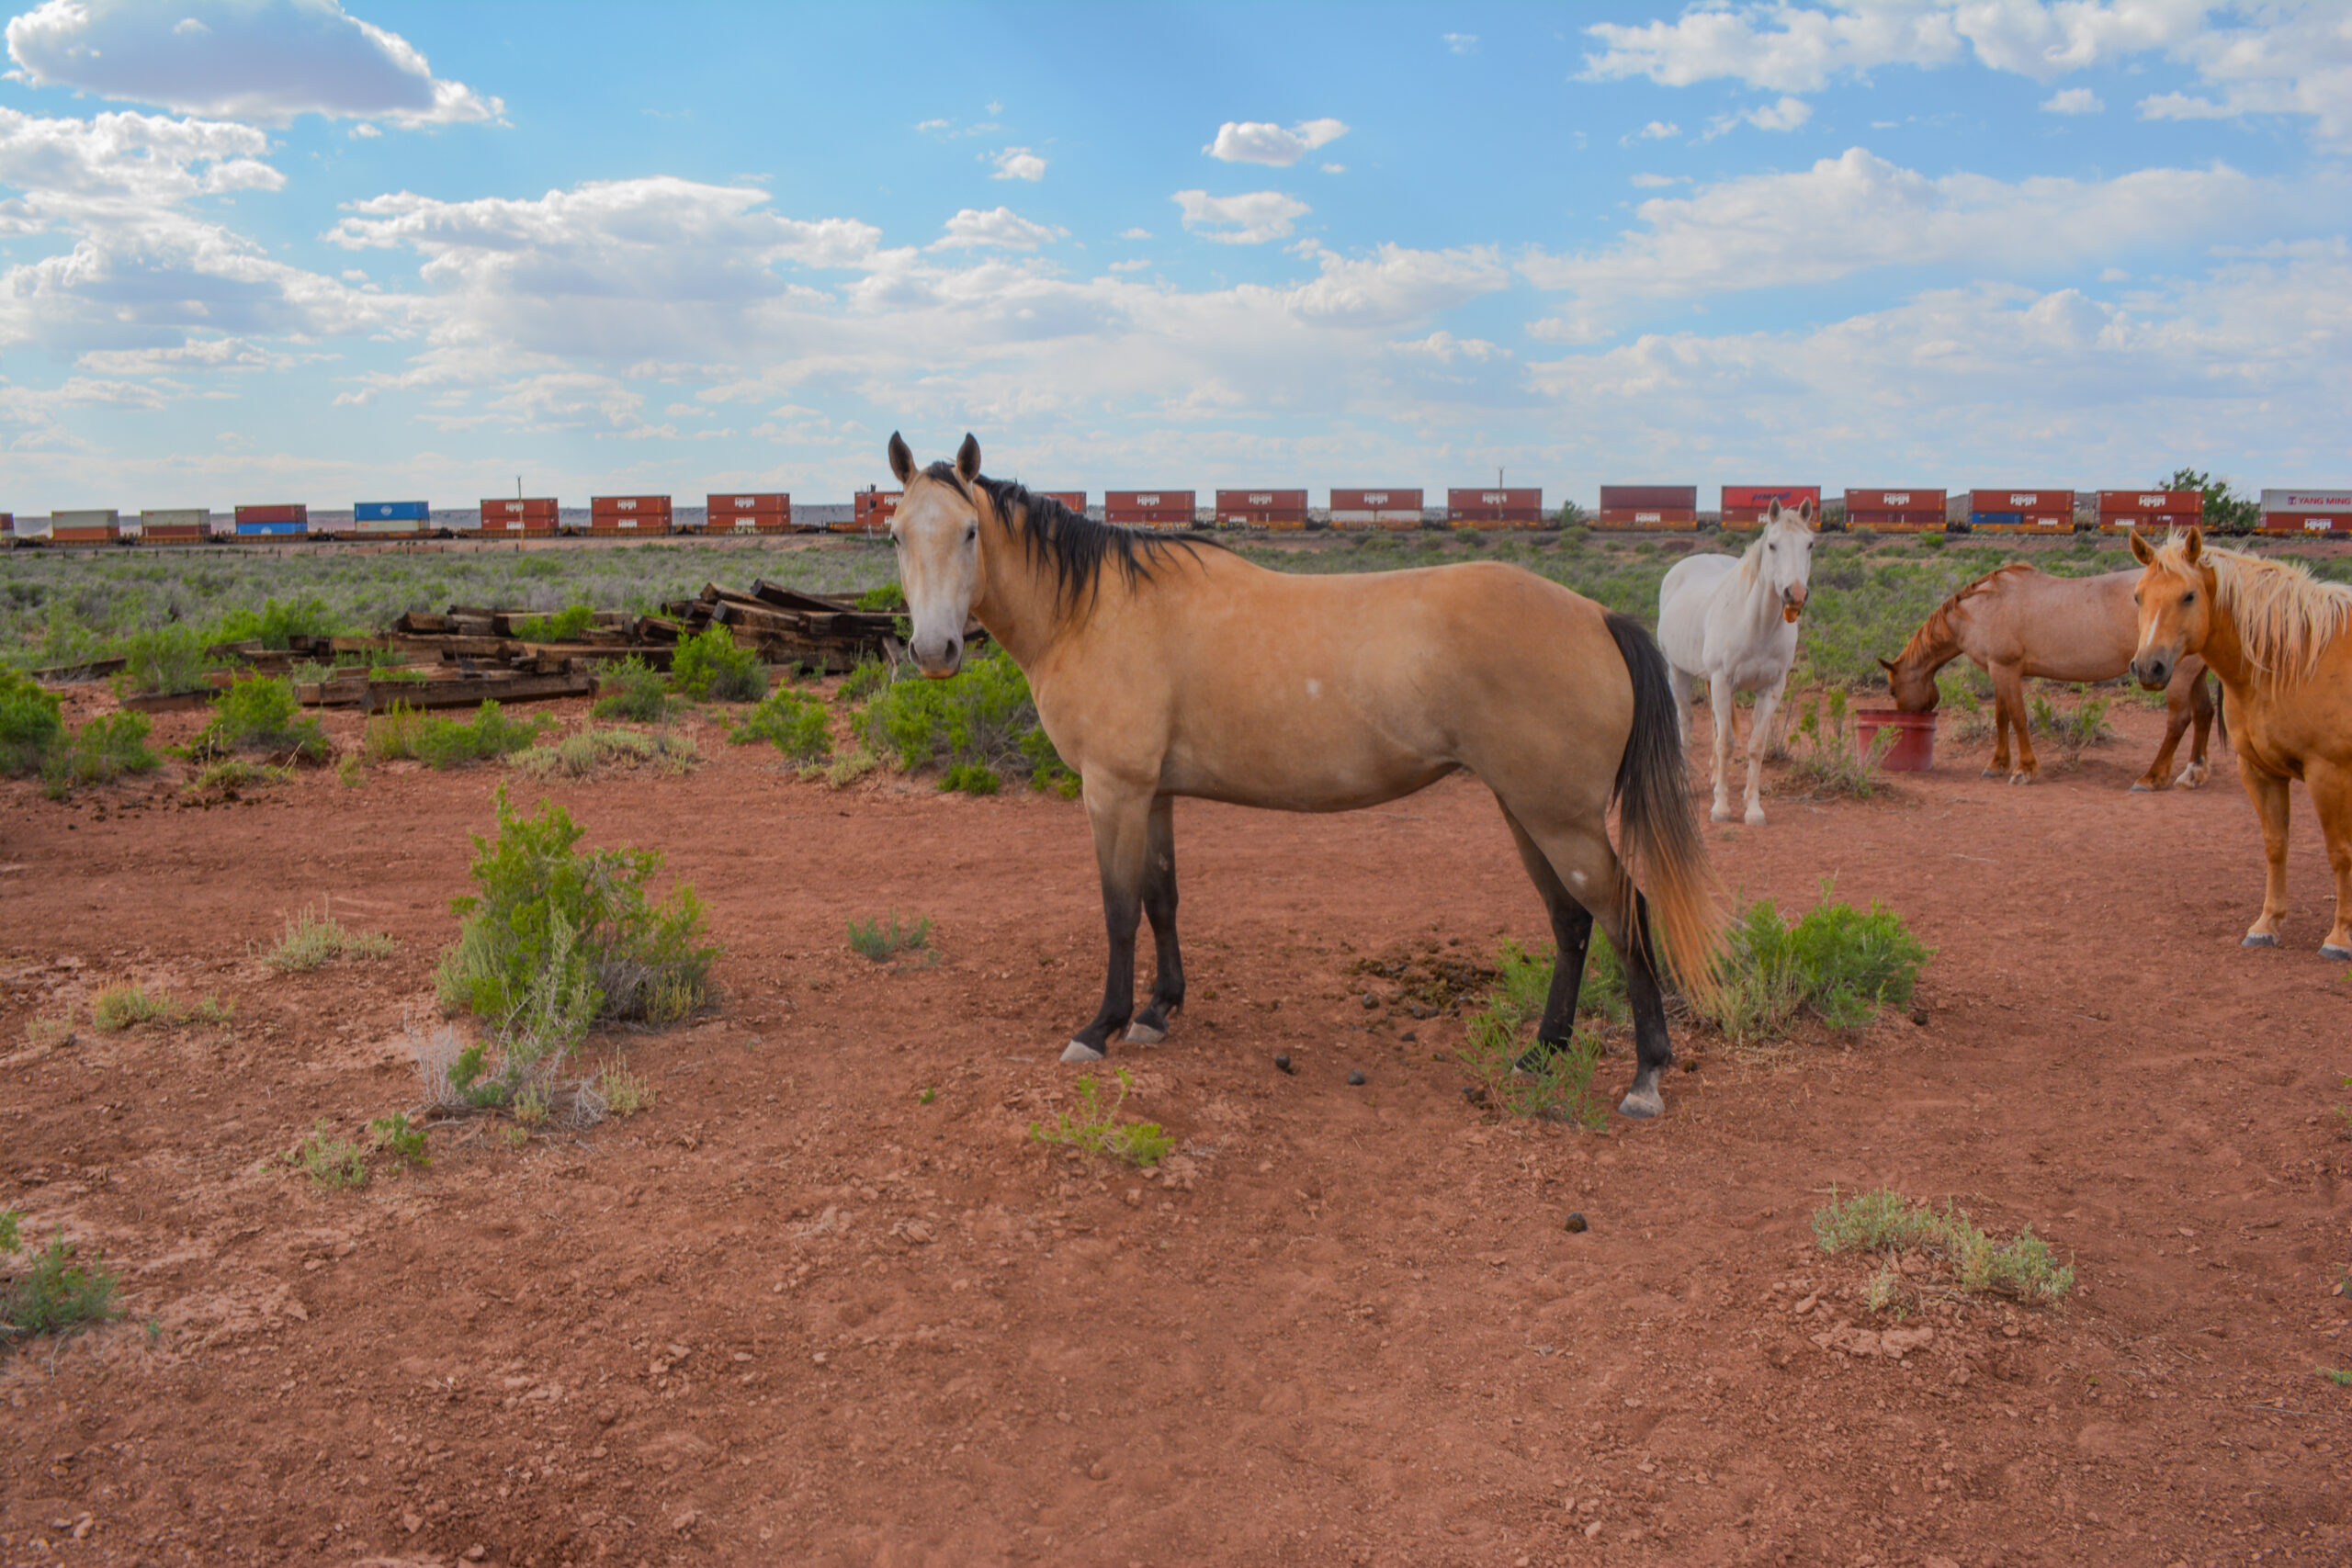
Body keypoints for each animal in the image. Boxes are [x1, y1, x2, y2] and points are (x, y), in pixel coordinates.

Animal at [884, 432, 1719, 1119]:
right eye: (895, 533)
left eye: (968, 531)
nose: (934, 650)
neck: (1094, 611)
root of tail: (1597, 615)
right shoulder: (1154, 794)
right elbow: (1162, 898)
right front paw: (1158, 1011)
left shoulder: (1113, 790)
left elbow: (1118, 911)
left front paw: (1102, 1025)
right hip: (1525, 810)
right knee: (1571, 922)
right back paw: (1543, 1051)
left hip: (1560, 820)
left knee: (1624, 913)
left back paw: (1645, 1075)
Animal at [1655, 499, 1817, 826]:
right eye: (1772, 545)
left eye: (1809, 544)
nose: (1795, 594)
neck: (1757, 625)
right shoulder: (1721, 680)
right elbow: (1727, 743)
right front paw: (1721, 807)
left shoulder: (1772, 688)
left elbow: (1755, 746)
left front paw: (1752, 808)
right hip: (1677, 671)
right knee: (1687, 721)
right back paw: (1684, 781)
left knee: (1715, 724)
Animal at [1881, 563, 2219, 789]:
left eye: (1893, 691)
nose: (1907, 723)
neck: (1981, 609)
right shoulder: (1998, 670)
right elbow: (2001, 716)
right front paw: (1997, 764)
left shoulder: (2006, 669)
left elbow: (2018, 717)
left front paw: (2024, 769)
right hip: (2195, 675)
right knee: (2204, 713)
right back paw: (2194, 774)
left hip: (2177, 675)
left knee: (2179, 720)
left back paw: (2151, 778)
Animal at [2128, 526, 2352, 960]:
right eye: (2138, 596)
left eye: (2189, 596)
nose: (2149, 667)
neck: (2296, 663)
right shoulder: (2260, 771)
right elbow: (2275, 845)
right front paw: (2267, 925)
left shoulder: (2330, 776)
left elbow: (2339, 851)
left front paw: (2340, 937)